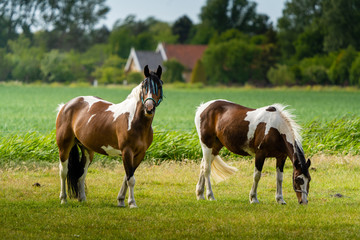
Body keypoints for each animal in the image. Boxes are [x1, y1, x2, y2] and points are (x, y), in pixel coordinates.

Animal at [56, 64, 163, 207]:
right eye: (144, 86)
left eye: (159, 86)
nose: (149, 108)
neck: (134, 120)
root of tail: (66, 106)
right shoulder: (127, 151)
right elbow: (130, 179)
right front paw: (132, 203)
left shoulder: (139, 154)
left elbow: (128, 176)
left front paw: (121, 200)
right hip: (64, 147)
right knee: (63, 171)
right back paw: (63, 199)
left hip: (87, 150)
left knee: (82, 173)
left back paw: (82, 198)